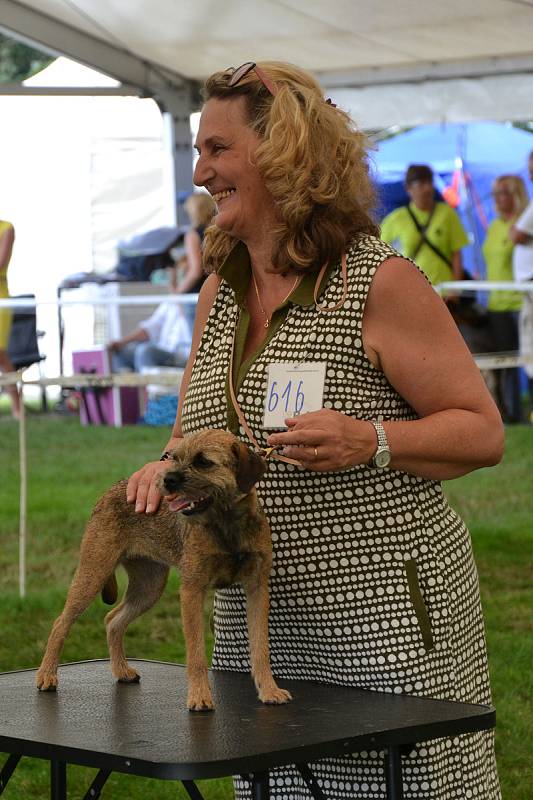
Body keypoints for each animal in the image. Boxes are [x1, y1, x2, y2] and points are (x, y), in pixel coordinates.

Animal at [35, 428, 290, 708]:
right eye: (175, 458)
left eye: (203, 462)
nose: (166, 480)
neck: (226, 525)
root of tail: (110, 491)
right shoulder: (192, 590)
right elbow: (196, 653)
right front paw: (199, 696)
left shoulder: (257, 589)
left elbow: (260, 647)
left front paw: (269, 690)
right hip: (94, 572)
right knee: (61, 622)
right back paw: (46, 675)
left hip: (149, 586)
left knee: (113, 620)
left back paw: (121, 671)